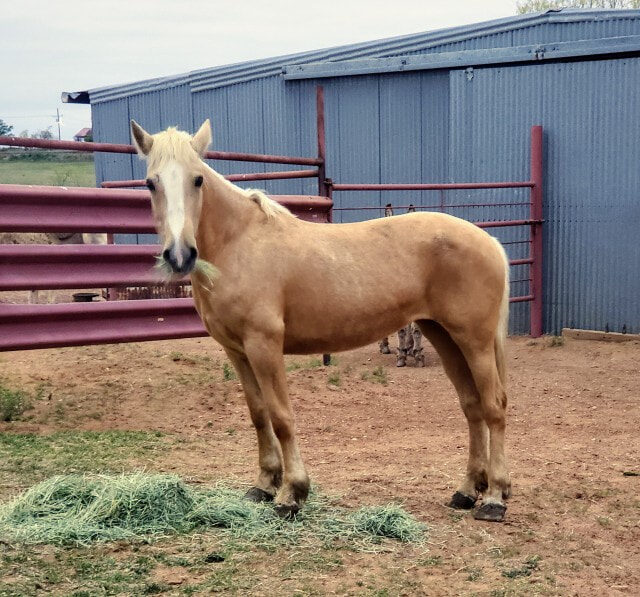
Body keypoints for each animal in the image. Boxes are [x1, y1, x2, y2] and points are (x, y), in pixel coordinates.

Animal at [130, 119, 512, 522]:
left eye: (198, 179)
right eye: (151, 183)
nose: (180, 255)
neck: (239, 244)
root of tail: (487, 240)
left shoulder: (264, 345)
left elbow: (281, 417)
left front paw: (291, 494)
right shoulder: (237, 351)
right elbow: (258, 414)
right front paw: (263, 485)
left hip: (475, 341)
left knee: (493, 407)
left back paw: (494, 498)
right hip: (444, 336)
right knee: (472, 406)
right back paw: (467, 491)